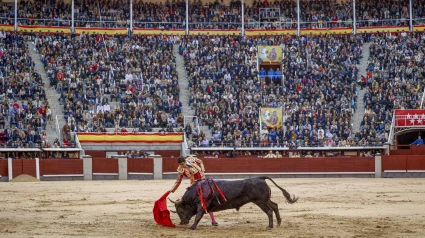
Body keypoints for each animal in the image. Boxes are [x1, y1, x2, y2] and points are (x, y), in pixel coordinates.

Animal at [167, 176, 296, 230]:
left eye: (181, 209)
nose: (182, 222)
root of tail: (260, 178)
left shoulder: (202, 206)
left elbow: (198, 216)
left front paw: (192, 227)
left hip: (260, 201)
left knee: (269, 210)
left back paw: (270, 226)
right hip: (265, 200)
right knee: (275, 206)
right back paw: (278, 222)